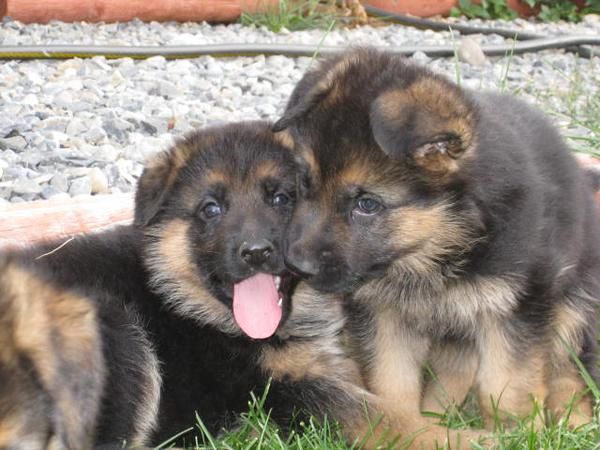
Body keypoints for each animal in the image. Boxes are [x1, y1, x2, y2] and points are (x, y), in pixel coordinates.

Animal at [0, 120, 464, 450]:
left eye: (282, 198)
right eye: (211, 209)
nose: (256, 252)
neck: (186, 300)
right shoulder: (277, 390)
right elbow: (375, 414)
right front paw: (462, 437)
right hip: (112, 329)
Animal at [276, 48, 600, 428]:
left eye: (367, 205)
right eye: (305, 183)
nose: (297, 265)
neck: (440, 242)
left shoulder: (517, 305)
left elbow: (506, 387)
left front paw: (516, 431)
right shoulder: (382, 314)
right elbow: (392, 382)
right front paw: (406, 424)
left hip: (572, 305)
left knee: (569, 369)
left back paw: (573, 419)